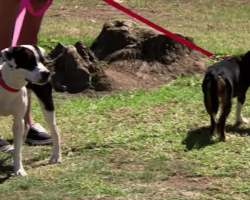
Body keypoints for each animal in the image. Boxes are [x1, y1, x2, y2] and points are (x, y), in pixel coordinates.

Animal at [0, 44, 61, 176]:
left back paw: (56, 156)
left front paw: (19, 169)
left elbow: (18, 150)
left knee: (54, 130)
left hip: (46, 104)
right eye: (29, 61)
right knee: (26, 128)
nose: (46, 73)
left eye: (42, 61)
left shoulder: (18, 120)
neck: (10, 86)